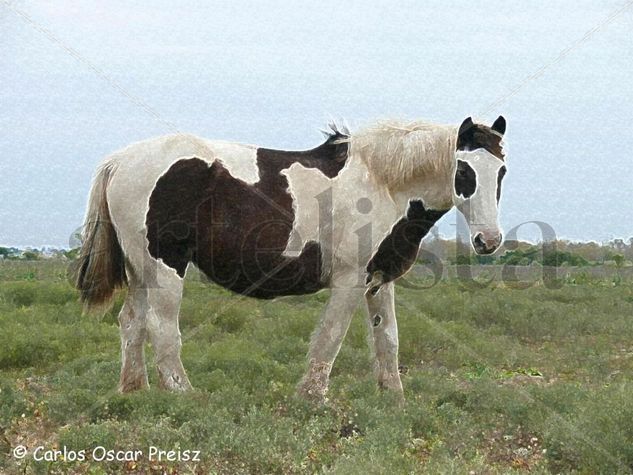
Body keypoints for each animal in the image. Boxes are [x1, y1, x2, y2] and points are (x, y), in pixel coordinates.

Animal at [75, 115, 508, 402]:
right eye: (464, 170)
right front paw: (312, 398)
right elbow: (330, 338)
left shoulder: (379, 279)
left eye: (502, 170)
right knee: (162, 328)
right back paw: (185, 395)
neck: (381, 182)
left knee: (131, 323)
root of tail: (119, 161)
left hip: (140, 271)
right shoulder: (350, 280)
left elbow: (387, 339)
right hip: (165, 268)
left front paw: (394, 400)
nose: (488, 240)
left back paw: (134, 391)